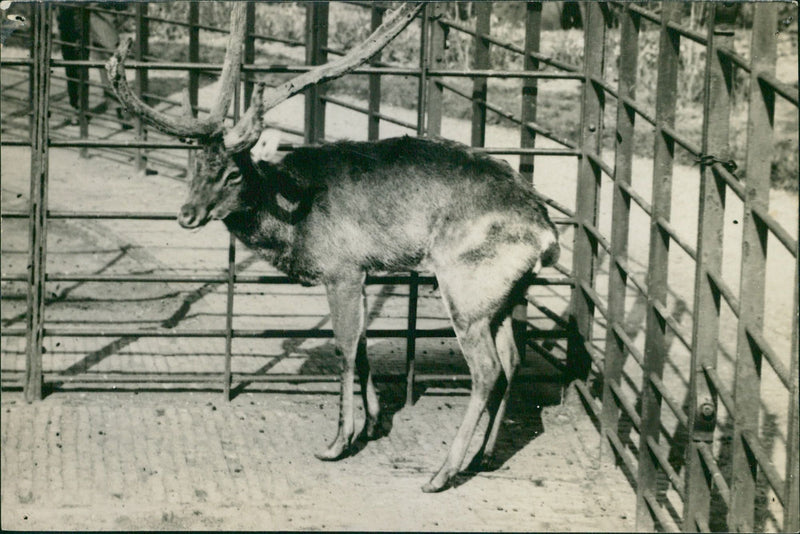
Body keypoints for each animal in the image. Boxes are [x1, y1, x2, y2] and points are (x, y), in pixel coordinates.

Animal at [107, 2, 560, 493]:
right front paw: (375, 423)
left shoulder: (342, 267)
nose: (186, 215)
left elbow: (344, 347)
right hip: (503, 293)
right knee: (512, 359)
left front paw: (339, 440)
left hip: (466, 285)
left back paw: (442, 472)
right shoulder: (360, 272)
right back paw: (484, 456)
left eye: (233, 173)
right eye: (194, 165)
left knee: (486, 369)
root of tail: (547, 234)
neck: (294, 222)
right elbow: (361, 346)